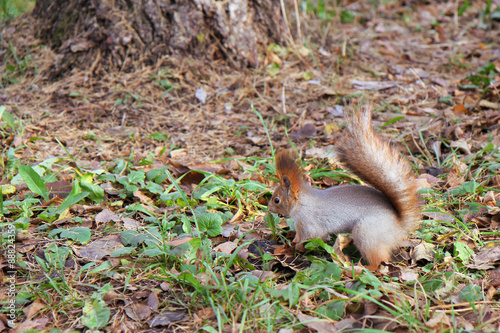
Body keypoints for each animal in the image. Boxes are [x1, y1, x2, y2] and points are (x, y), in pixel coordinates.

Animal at [268, 105, 420, 268]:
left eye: (276, 200)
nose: (268, 209)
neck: (301, 203)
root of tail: (398, 227)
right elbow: (300, 235)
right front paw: (293, 240)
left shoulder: (309, 223)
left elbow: (310, 236)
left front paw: (297, 247)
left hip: (366, 233)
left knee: (379, 259)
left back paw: (364, 267)